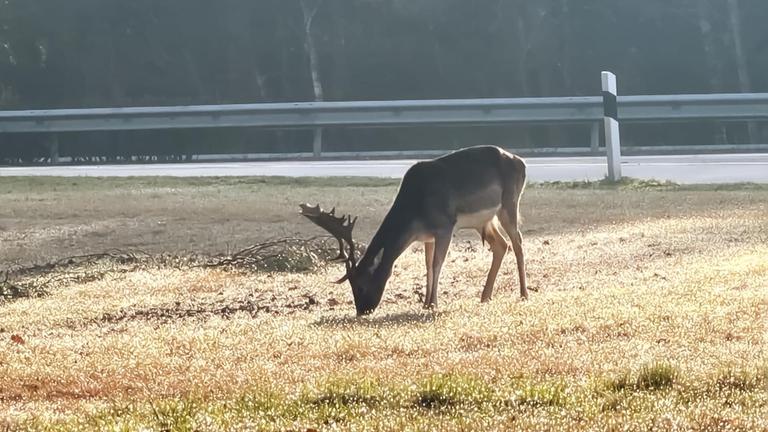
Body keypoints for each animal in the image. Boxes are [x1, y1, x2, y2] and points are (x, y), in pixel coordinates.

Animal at [300, 145, 527, 316]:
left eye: (361, 285)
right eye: (350, 285)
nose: (362, 310)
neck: (417, 212)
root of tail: (521, 162)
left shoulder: (445, 226)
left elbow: (437, 264)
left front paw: (434, 303)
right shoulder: (427, 236)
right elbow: (427, 265)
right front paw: (426, 303)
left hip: (509, 203)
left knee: (518, 242)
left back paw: (524, 294)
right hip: (485, 220)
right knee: (501, 245)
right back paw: (485, 296)